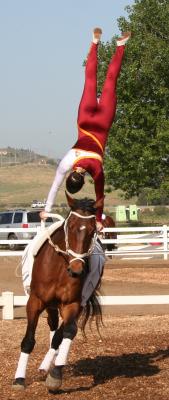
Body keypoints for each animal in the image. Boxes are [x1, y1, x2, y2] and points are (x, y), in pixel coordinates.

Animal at [13, 192, 102, 392]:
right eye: (70, 226)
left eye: (93, 230)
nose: (76, 270)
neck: (61, 266)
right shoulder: (35, 301)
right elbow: (28, 340)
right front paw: (19, 379)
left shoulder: (73, 304)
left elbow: (68, 332)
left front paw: (55, 376)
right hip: (50, 305)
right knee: (53, 327)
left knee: (58, 336)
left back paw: (48, 366)